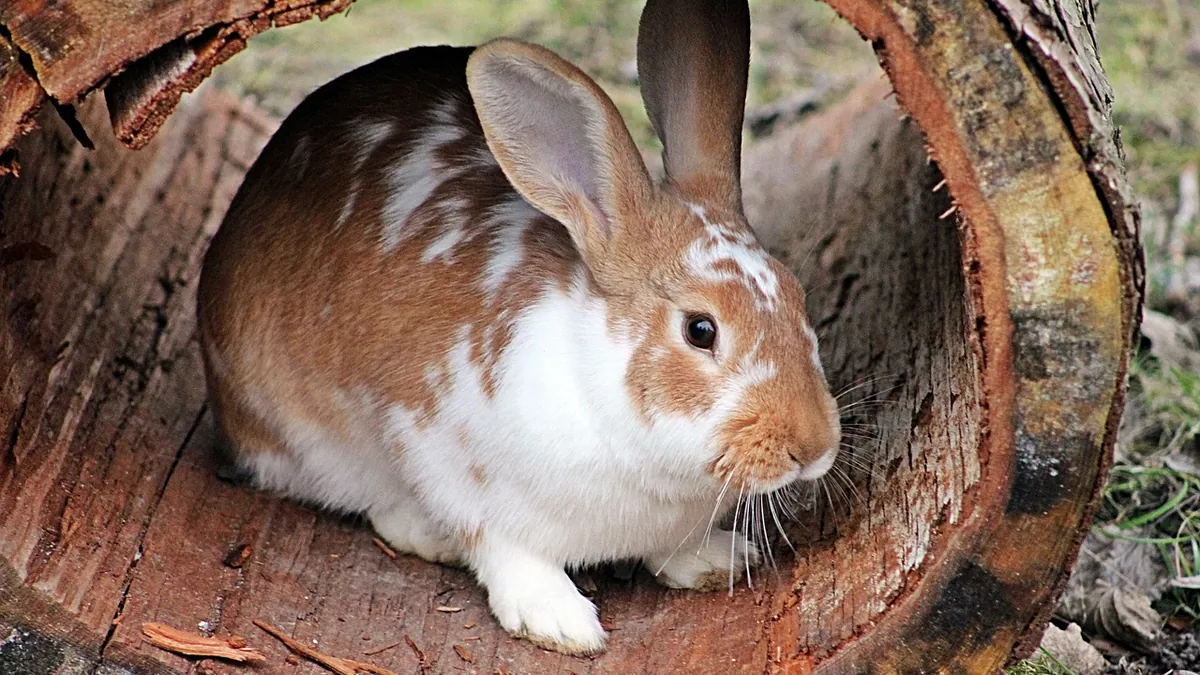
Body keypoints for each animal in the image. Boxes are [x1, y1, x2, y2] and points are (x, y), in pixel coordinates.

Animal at [196, 0, 840, 656]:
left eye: (797, 293)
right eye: (700, 330)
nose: (814, 446)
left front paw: (717, 561)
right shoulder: (452, 466)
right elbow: (505, 550)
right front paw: (560, 623)